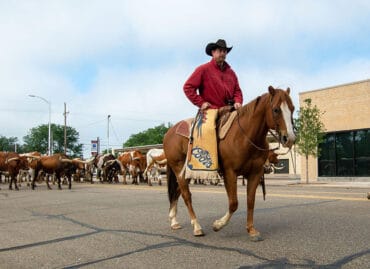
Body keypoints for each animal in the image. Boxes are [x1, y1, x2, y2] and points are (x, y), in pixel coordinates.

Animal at [163, 85, 296, 239]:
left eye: (292, 108)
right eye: (276, 109)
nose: (290, 138)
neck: (244, 136)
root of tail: (169, 133)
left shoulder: (255, 173)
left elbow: (250, 201)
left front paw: (251, 230)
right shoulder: (230, 173)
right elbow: (233, 203)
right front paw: (218, 225)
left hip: (188, 173)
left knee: (177, 192)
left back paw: (174, 221)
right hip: (179, 169)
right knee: (186, 195)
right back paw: (196, 227)